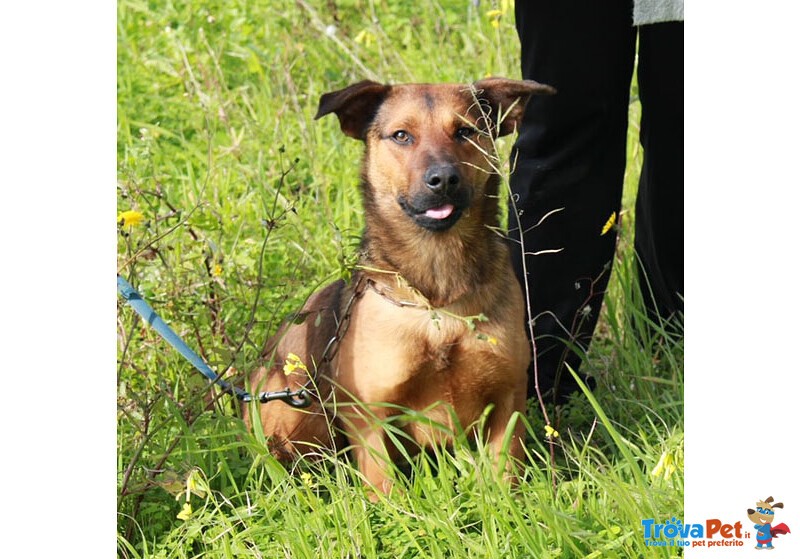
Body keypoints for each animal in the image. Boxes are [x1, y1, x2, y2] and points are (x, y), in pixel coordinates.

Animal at [245, 75, 556, 494]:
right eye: (401, 136)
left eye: (465, 131)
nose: (443, 180)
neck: (436, 301)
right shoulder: (370, 416)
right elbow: (385, 487)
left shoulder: (508, 398)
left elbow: (503, 472)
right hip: (288, 404)